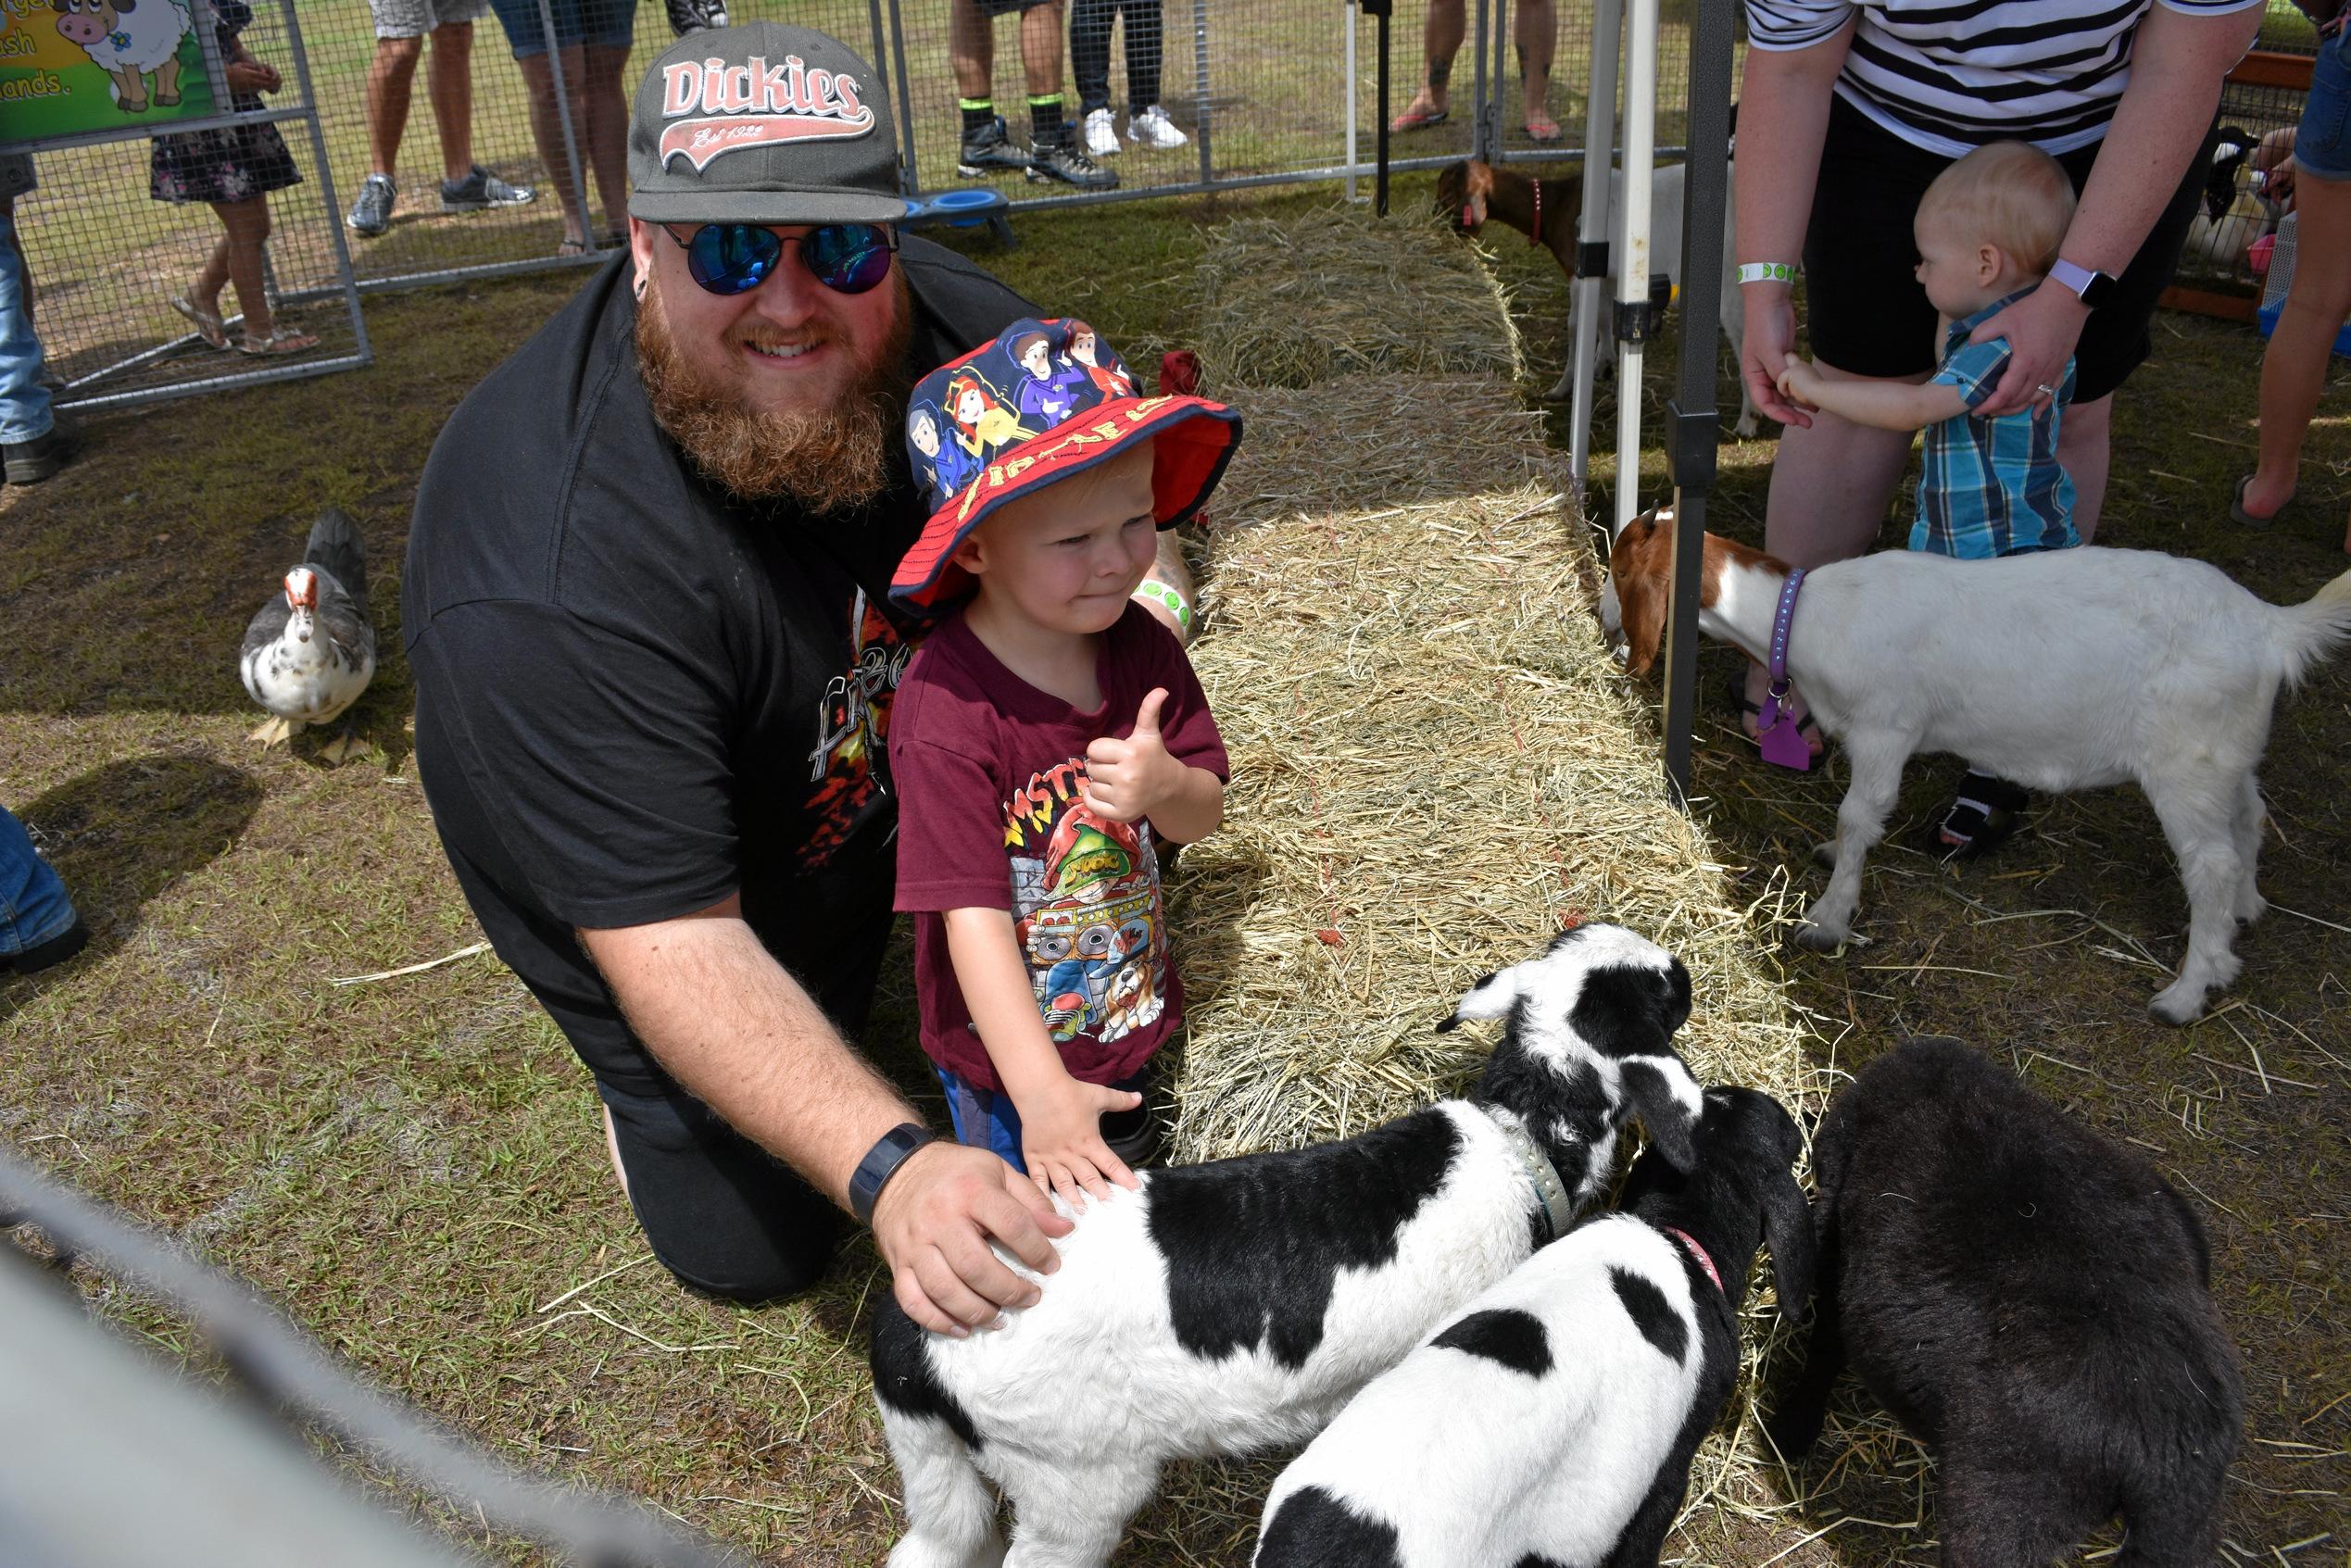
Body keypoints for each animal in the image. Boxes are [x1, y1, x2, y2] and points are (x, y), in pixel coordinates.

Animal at [874, 926, 1702, 1561]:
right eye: (1661, 994)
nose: (1687, 970)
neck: (1518, 1139)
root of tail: (911, 1335)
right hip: (1070, 1476)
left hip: (953, 1469)